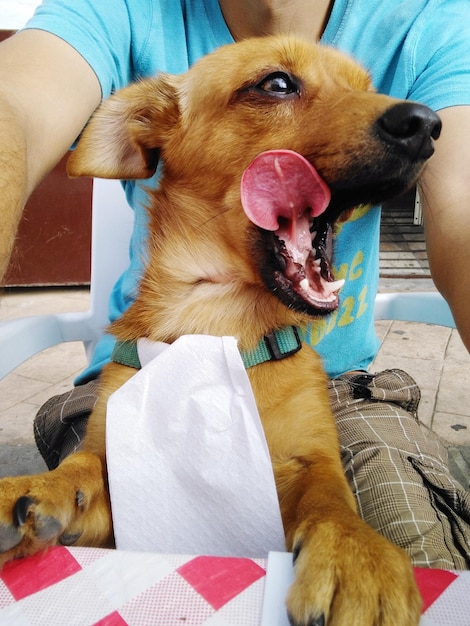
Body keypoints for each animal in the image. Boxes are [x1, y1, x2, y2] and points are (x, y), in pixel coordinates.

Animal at [0, 35, 440, 624]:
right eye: (277, 83)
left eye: (367, 87)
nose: (427, 123)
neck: (218, 323)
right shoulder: (121, 478)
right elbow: (82, 463)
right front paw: (38, 486)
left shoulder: (308, 462)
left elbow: (331, 499)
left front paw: (358, 553)